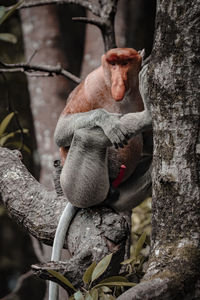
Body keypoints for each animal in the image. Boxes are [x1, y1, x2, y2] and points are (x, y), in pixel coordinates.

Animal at [49, 50, 152, 300]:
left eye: (125, 63)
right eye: (113, 64)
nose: (118, 82)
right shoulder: (91, 84)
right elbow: (62, 131)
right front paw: (109, 121)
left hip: (119, 192)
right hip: (78, 186)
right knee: (88, 135)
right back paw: (144, 116)